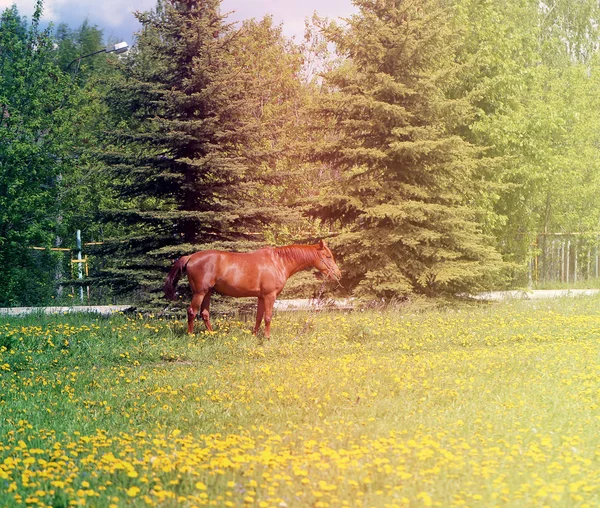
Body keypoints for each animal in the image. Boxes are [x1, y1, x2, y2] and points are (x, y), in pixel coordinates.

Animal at [164, 241, 342, 338]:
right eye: (328, 256)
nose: (338, 274)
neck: (278, 262)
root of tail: (190, 257)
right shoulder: (270, 296)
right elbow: (268, 317)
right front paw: (267, 338)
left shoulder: (261, 297)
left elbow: (258, 317)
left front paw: (255, 335)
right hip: (199, 293)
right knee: (192, 312)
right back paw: (190, 336)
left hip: (207, 292)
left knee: (205, 313)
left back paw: (212, 334)